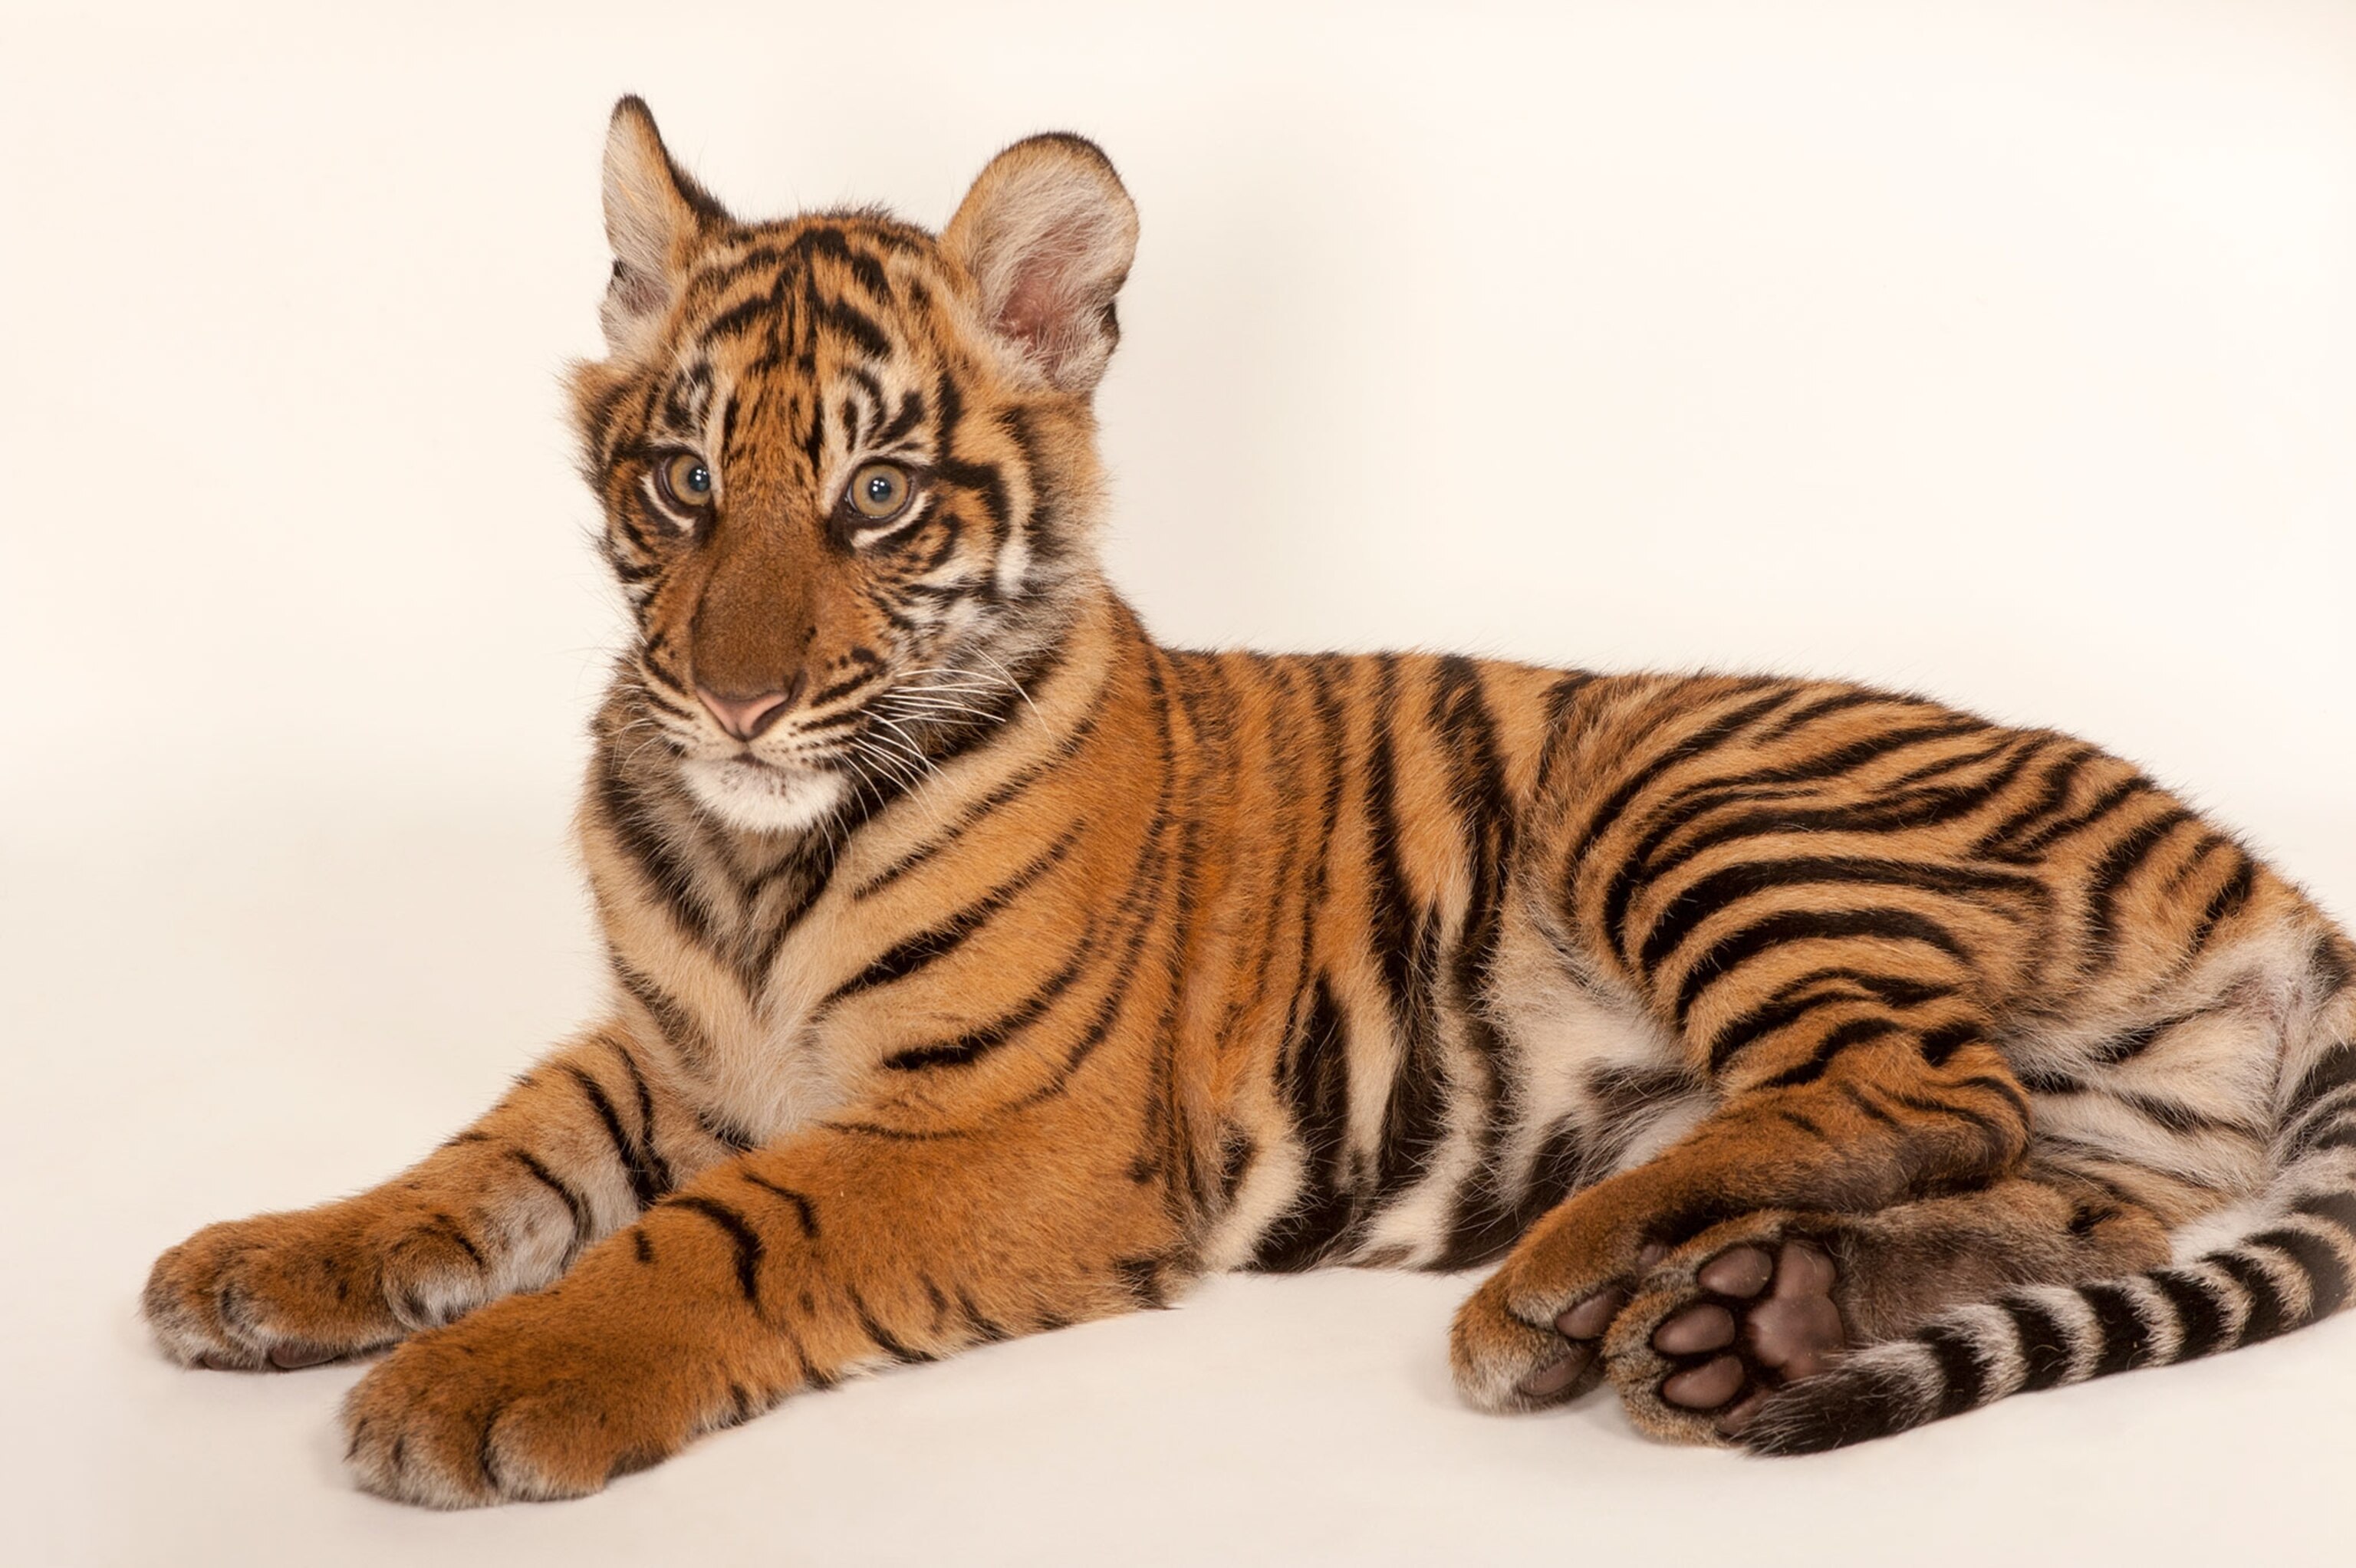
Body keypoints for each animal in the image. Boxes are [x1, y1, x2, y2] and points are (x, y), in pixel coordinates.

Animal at [142, 97, 2356, 1508]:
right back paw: (1753, 1315)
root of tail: (2248, 866)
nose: (739, 693)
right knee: (2007, 1176)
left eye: (877, 493)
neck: (752, 850)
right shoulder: (670, 1044)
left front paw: (488, 1377)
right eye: (682, 481)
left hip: (1687, 791)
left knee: (1906, 1081)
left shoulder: (999, 1126)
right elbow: (488, 1155)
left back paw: (1560, 1287)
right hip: (2106, 1138)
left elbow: (720, 1236)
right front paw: (271, 1260)